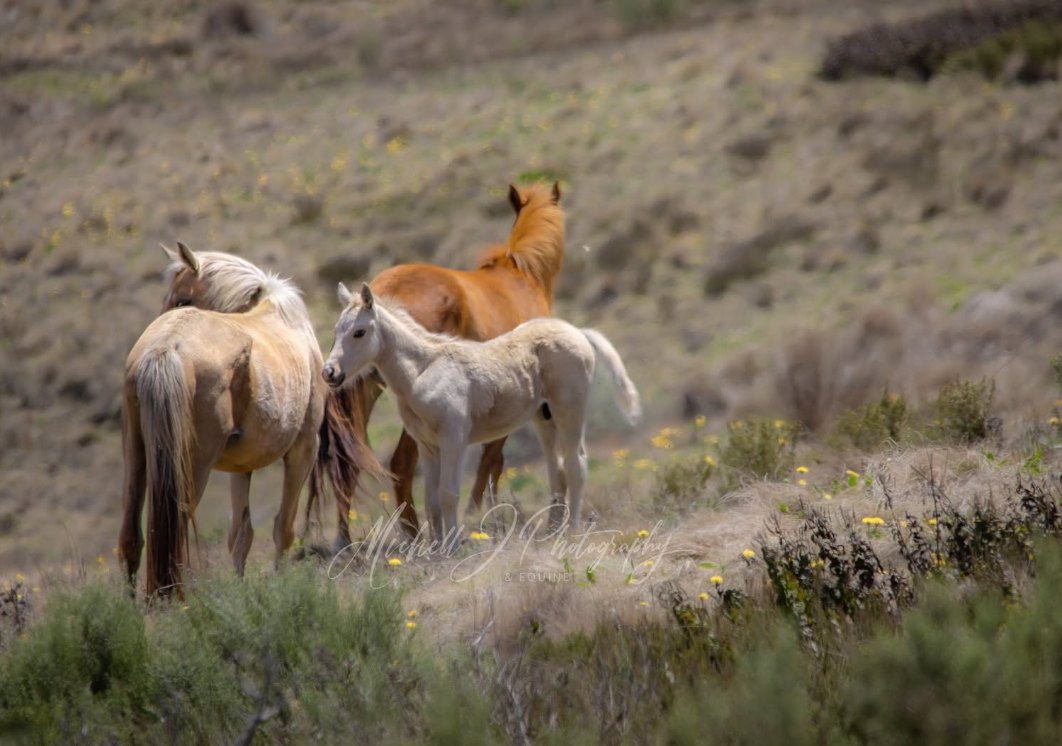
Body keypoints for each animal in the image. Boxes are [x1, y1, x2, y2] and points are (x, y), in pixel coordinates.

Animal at [118, 242, 325, 597]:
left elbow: (241, 534)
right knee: (176, 530)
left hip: (137, 452)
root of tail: (165, 346)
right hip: (194, 463)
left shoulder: (241, 467)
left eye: (182, 299)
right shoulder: (303, 451)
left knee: (131, 533)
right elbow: (282, 527)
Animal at [308, 182, 565, 550]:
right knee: (403, 462)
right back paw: (416, 534)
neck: (519, 276)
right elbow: (492, 461)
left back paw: (345, 540)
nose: (329, 371)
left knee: (348, 467)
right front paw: (480, 517)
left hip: (363, 392)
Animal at [322, 283, 641, 549]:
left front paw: (452, 548)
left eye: (359, 332)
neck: (422, 370)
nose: (330, 373)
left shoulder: (454, 439)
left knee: (576, 466)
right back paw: (552, 533)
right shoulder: (427, 445)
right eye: (337, 329)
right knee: (558, 471)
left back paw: (572, 533)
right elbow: (431, 499)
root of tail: (578, 331)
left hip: (569, 412)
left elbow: (448, 494)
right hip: (544, 418)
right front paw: (435, 550)